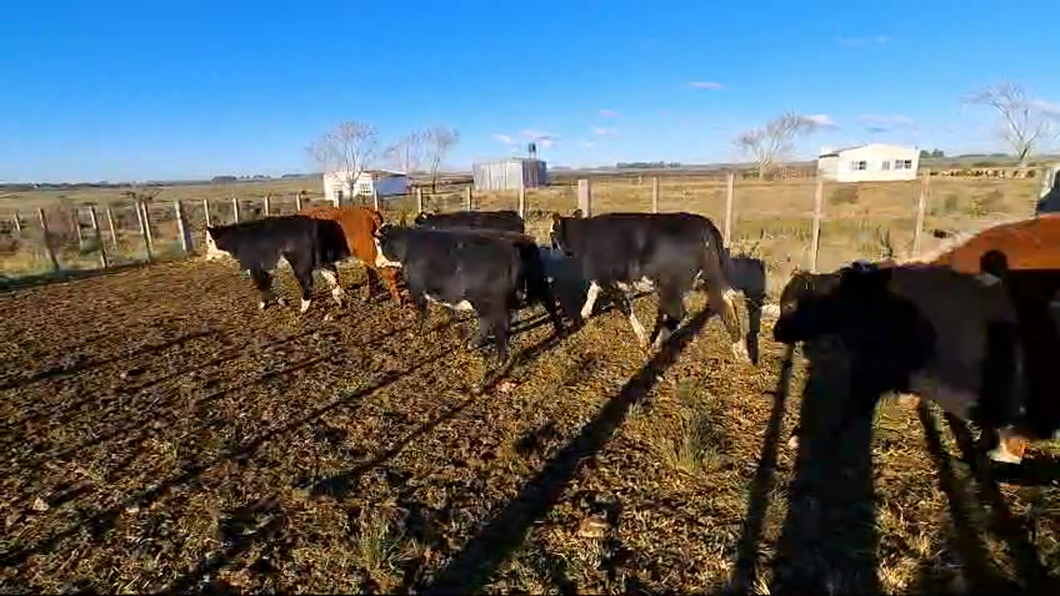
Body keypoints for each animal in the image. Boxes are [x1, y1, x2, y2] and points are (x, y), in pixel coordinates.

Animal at [204, 215, 354, 313]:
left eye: (210, 241)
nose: (207, 257)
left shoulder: (254, 267)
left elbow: (262, 285)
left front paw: (266, 304)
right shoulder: (268, 267)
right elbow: (271, 283)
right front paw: (279, 302)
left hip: (300, 264)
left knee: (308, 282)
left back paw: (303, 308)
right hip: (321, 260)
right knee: (332, 275)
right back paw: (339, 300)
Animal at [377, 223, 568, 360]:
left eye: (378, 243)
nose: (377, 262)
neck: (408, 246)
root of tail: (515, 243)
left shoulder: (416, 289)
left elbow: (421, 312)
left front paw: (417, 331)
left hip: (493, 302)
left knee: (500, 327)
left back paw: (500, 360)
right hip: (534, 286)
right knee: (550, 304)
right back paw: (559, 332)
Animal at [551, 208, 750, 360]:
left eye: (552, 233)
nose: (552, 253)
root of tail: (705, 227)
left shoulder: (609, 281)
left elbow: (624, 307)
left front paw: (643, 338)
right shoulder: (603, 279)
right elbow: (592, 291)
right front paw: (584, 312)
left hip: (670, 287)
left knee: (678, 314)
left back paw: (657, 344)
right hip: (711, 279)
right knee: (725, 306)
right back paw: (741, 350)